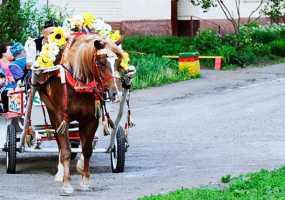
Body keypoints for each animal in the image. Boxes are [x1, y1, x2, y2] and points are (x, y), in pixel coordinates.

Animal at [31, 34, 125, 194]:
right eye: (100, 63)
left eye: (118, 61)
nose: (116, 93)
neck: (79, 82)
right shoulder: (62, 117)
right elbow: (66, 150)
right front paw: (66, 184)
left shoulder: (90, 119)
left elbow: (87, 149)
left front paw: (85, 180)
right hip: (52, 112)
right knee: (59, 141)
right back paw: (61, 171)